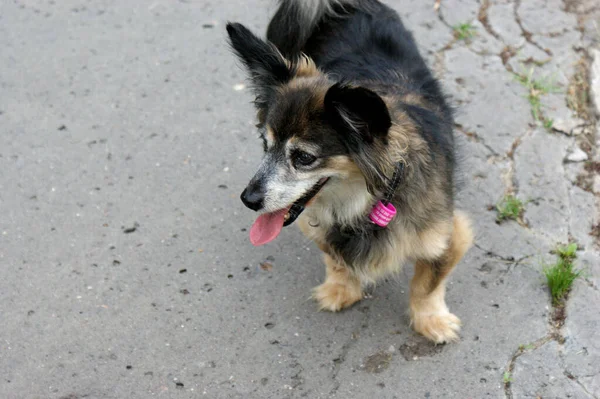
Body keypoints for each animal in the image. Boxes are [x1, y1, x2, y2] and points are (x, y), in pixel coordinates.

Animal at [225, 0, 474, 344]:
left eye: (303, 157)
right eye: (265, 144)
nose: (248, 199)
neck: (364, 202)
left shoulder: (448, 235)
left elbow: (427, 285)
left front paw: (431, 321)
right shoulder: (317, 226)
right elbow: (335, 257)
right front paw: (341, 288)